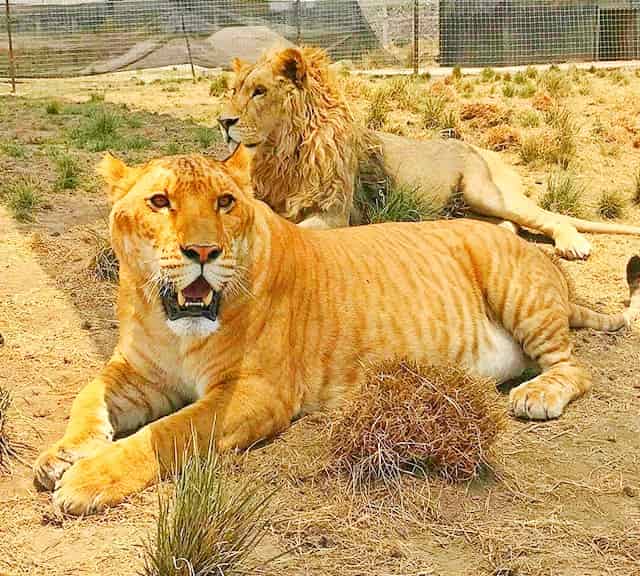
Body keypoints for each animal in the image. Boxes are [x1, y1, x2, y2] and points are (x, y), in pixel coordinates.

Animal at [35, 147, 640, 512]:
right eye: (159, 202)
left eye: (225, 202)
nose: (203, 252)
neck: (171, 322)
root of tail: (551, 271)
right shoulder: (138, 370)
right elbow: (88, 397)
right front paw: (62, 454)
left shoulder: (256, 393)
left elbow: (166, 435)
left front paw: (85, 479)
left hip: (512, 282)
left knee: (573, 367)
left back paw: (537, 394)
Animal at [218, 47, 640, 258]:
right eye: (235, 90)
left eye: (259, 92)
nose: (223, 121)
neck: (282, 153)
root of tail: (488, 151)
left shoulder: (336, 215)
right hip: (468, 206)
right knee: (509, 225)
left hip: (484, 191)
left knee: (550, 218)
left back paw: (573, 244)